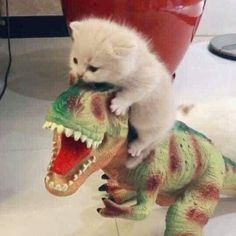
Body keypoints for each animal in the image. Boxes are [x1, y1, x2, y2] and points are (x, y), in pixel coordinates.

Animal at [69, 18, 176, 168]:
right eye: (75, 60)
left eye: (94, 68)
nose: (79, 74)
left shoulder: (148, 79)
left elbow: (133, 92)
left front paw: (119, 105)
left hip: (147, 123)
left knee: (147, 139)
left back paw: (136, 147)